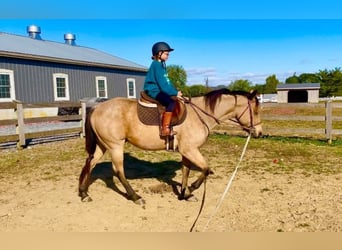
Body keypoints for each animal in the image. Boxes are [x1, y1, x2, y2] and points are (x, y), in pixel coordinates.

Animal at [79, 88, 264, 205]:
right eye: (255, 111)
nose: (259, 132)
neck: (199, 114)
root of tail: (96, 108)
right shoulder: (190, 149)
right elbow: (206, 169)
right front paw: (192, 188)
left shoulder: (187, 151)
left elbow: (186, 171)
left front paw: (185, 194)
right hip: (115, 146)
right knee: (118, 171)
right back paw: (135, 197)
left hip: (103, 145)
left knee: (90, 163)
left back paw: (83, 193)